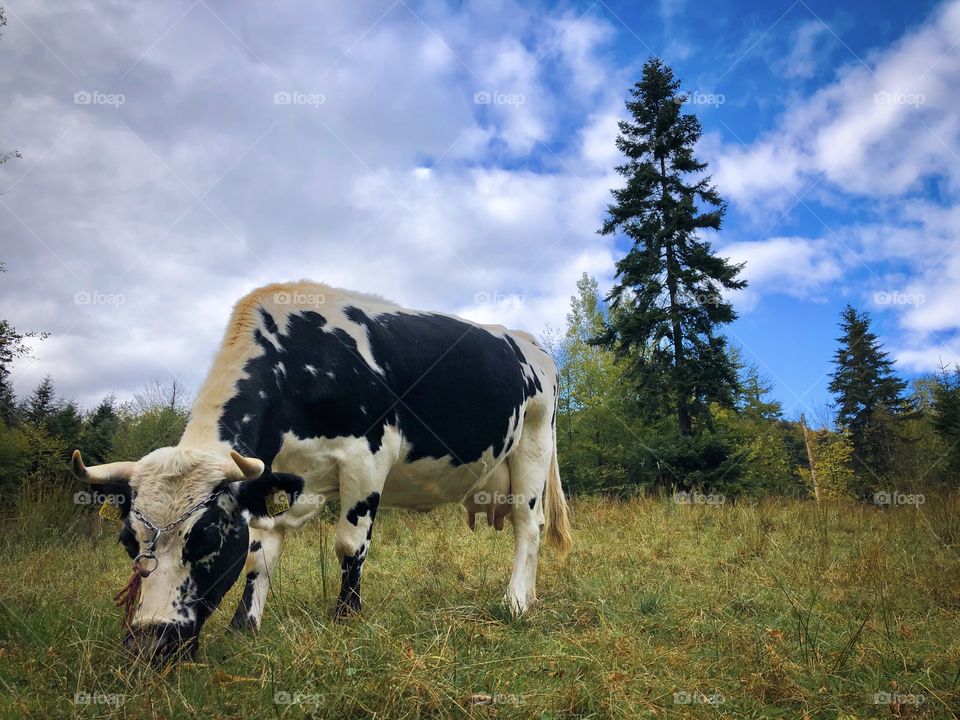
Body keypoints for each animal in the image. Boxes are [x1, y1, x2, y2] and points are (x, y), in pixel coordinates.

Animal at [71, 282, 572, 662]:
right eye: (128, 540)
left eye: (208, 538)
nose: (150, 645)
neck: (299, 362)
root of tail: (527, 342)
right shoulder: (271, 480)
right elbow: (259, 552)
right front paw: (244, 627)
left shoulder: (367, 457)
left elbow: (350, 545)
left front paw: (346, 618)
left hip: (533, 444)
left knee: (528, 525)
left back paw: (516, 603)